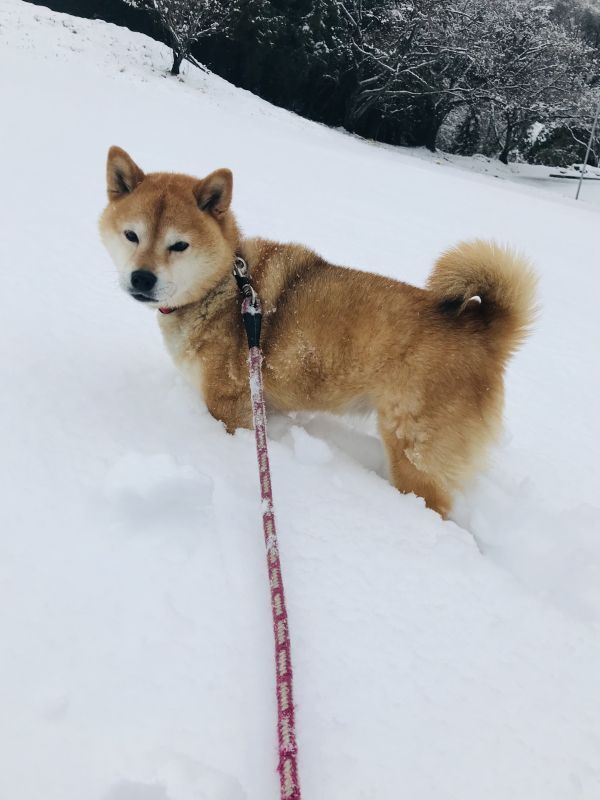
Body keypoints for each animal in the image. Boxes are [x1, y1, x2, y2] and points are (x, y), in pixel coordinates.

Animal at [101, 146, 536, 516]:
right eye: (132, 235)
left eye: (179, 245)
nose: (141, 279)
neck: (225, 285)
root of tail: (483, 328)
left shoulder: (228, 408)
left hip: (415, 453)